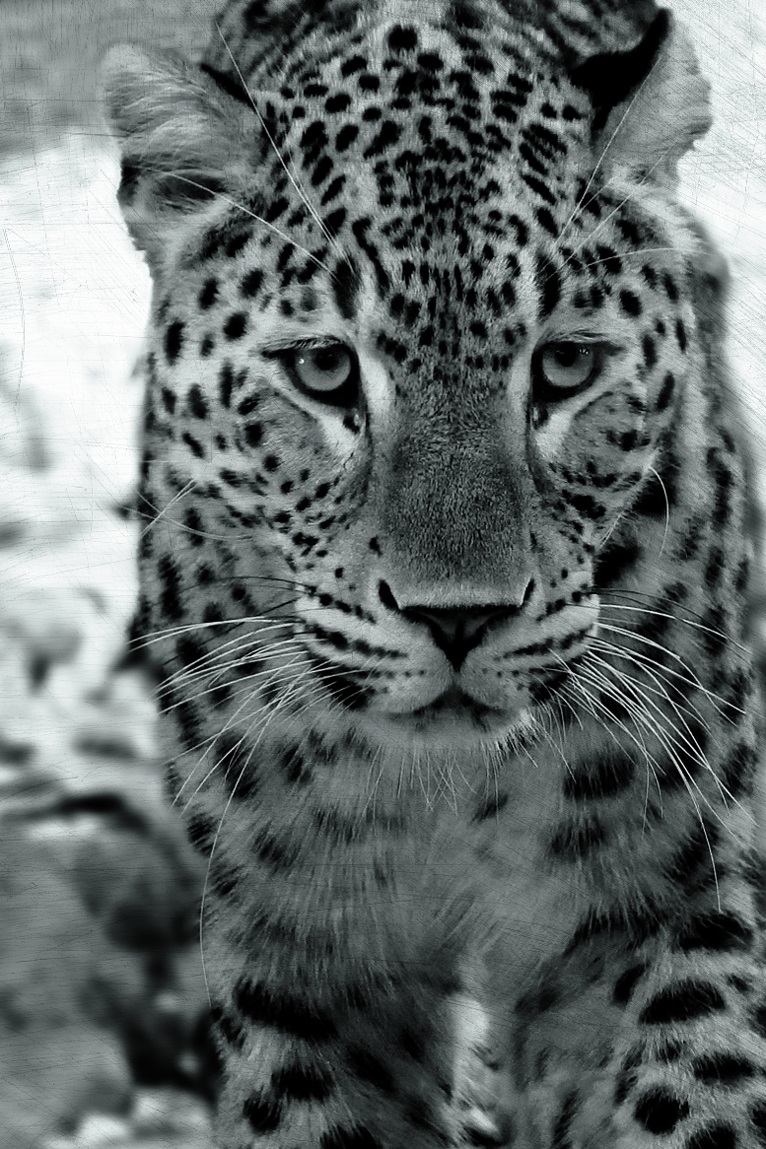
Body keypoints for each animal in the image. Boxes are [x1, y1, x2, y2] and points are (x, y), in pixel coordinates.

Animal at [100, 0, 766, 1146]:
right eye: (325, 370)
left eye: (565, 366)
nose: (460, 619)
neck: (452, 789)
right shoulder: (301, 947)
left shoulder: (662, 895)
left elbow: (695, 1088)